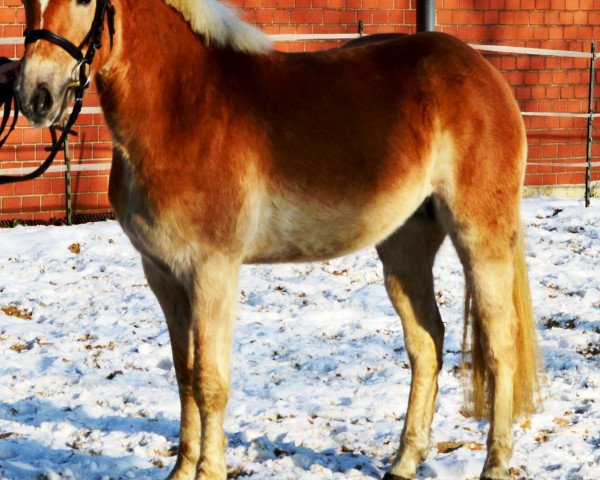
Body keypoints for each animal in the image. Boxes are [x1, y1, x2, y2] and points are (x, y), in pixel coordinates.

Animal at [16, 0, 540, 480]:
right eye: (25, 2)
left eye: (86, 1)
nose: (35, 96)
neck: (182, 108)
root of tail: (483, 72)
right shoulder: (163, 276)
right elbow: (184, 376)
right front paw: (183, 470)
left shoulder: (212, 271)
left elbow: (210, 382)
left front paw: (208, 471)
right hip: (405, 249)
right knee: (427, 344)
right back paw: (404, 462)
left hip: (480, 237)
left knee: (500, 344)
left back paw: (495, 465)